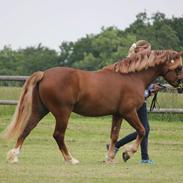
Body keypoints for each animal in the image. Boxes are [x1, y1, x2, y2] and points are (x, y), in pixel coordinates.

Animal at [3, 49, 183, 164]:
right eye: (179, 67)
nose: (180, 86)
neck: (132, 77)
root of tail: (45, 74)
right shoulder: (129, 112)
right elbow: (142, 130)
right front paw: (127, 153)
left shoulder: (117, 114)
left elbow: (114, 136)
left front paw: (110, 157)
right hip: (62, 113)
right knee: (58, 135)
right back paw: (71, 159)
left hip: (40, 110)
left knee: (26, 130)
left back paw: (14, 156)